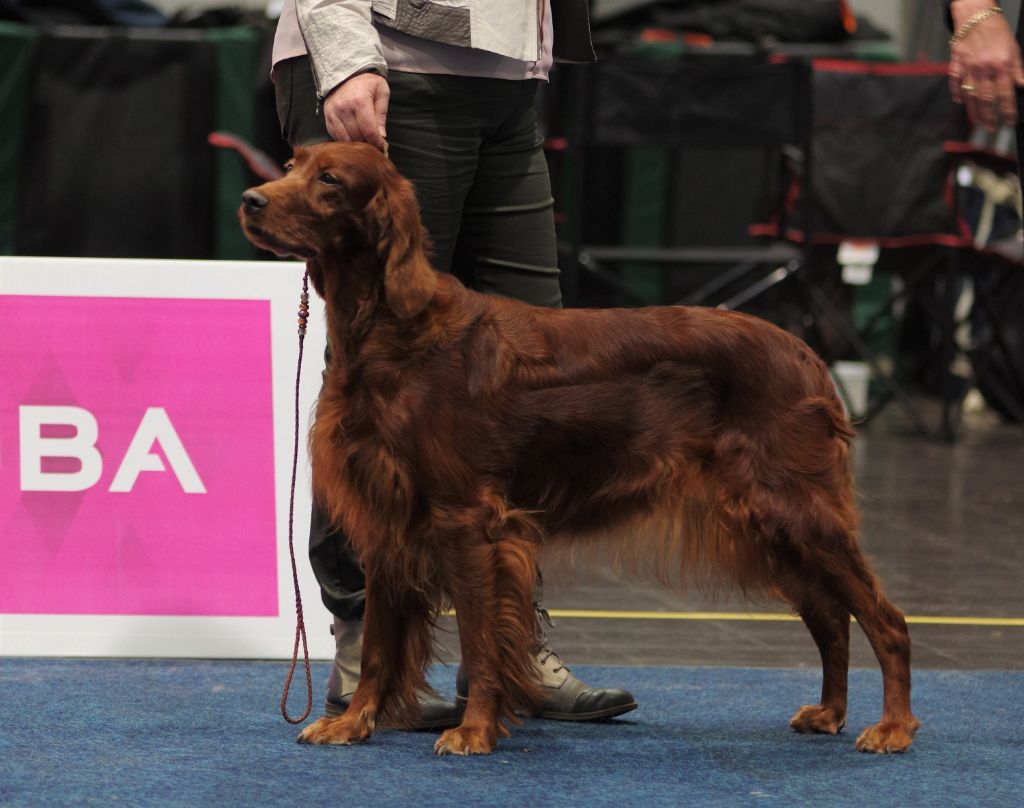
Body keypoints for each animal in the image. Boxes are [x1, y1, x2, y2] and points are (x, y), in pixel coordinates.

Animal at [241, 140, 921, 757]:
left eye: (329, 178)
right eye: (292, 163)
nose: (250, 200)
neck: (393, 330)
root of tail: (807, 353)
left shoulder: (466, 518)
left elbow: (481, 637)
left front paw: (475, 731)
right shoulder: (389, 518)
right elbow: (380, 641)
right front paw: (353, 723)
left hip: (797, 511)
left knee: (884, 619)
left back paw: (892, 727)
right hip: (774, 527)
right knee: (832, 620)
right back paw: (831, 713)